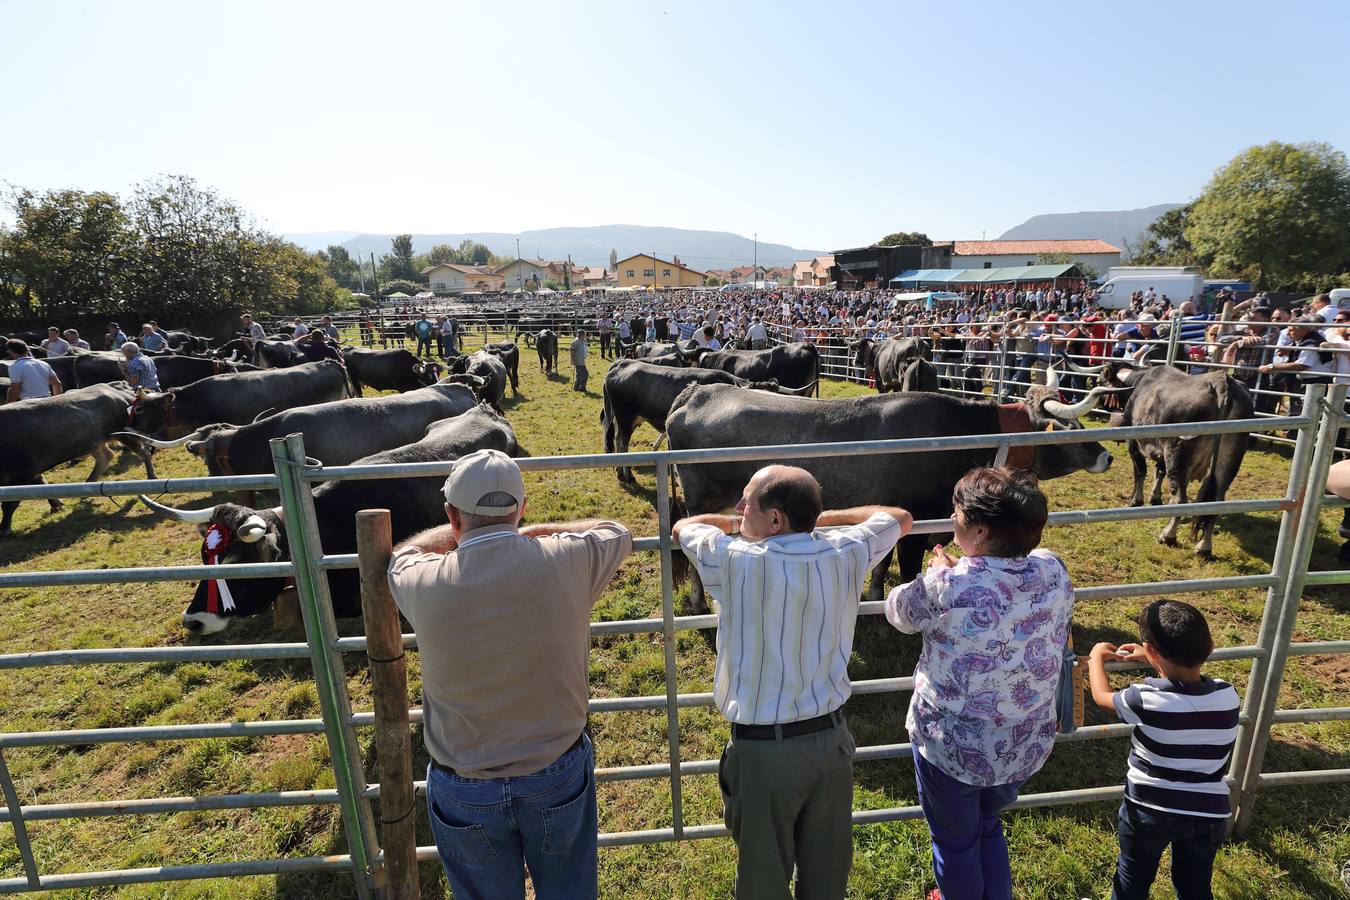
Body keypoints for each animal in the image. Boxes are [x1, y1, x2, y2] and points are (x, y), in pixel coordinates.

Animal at [0, 383, 153, 534]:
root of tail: (117, 386)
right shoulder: (31, 472)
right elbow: (40, 485)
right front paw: (56, 504)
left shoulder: (23, 473)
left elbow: (10, 503)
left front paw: (4, 528)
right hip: (92, 444)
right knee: (106, 456)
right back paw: (87, 487)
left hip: (126, 435)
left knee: (145, 453)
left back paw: (152, 477)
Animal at [666, 380, 1117, 612]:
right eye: (1072, 429)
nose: (1108, 455)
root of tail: (696, 392)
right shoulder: (920, 524)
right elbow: (910, 567)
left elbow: (881, 564)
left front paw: (872, 594)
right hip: (700, 500)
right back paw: (699, 604)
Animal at [1101, 361, 1247, 555]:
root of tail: (1221, 382)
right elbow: (1159, 472)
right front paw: (1155, 498)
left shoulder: (1134, 443)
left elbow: (1140, 472)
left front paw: (1135, 501)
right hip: (1228, 465)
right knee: (1215, 504)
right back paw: (1204, 547)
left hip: (1177, 455)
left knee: (1180, 498)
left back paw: (1167, 535)